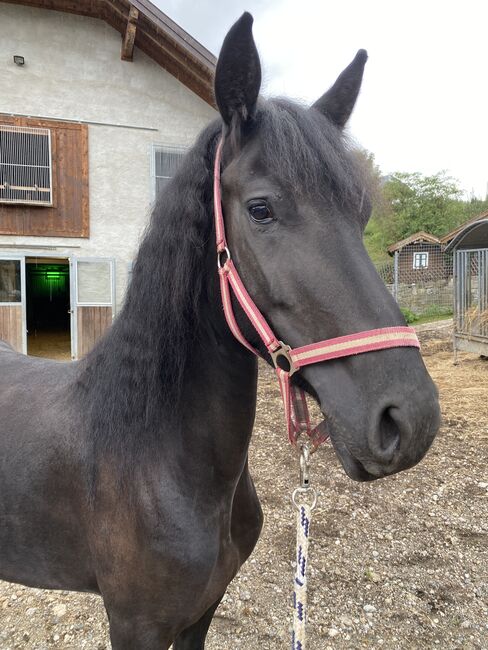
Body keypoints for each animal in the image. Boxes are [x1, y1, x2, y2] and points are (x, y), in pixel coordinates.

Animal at [0, 12, 440, 644]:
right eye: (260, 209)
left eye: (360, 215)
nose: (409, 418)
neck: (155, 458)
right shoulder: (134, 627)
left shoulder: (201, 613)